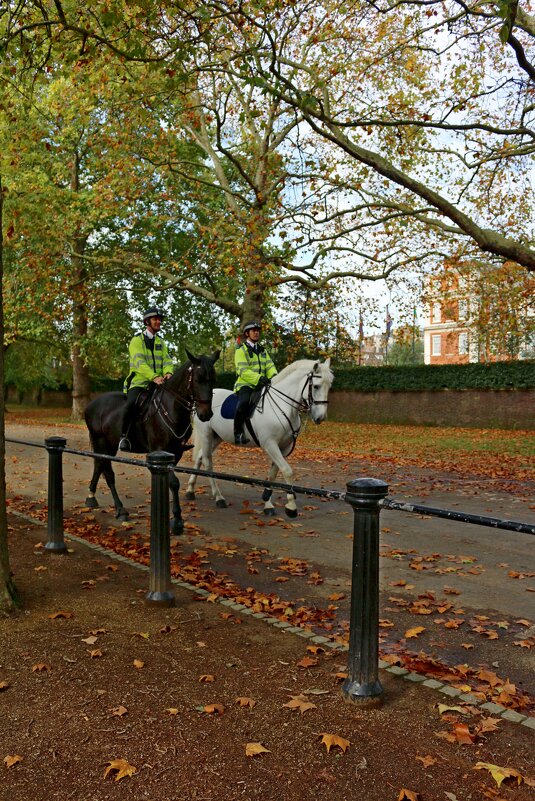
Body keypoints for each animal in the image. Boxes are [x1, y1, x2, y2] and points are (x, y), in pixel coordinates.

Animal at [84, 348, 218, 532]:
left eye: (213, 379)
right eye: (197, 379)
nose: (206, 414)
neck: (171, 408)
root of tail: (91, 404)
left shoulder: (175, 454)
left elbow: (169, 482)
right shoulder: (159, 449)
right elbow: (174, 482)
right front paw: (177, 520)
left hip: (108, 445)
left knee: (99, 466)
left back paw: (91, 497)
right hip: (101, 442)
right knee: (108, 473)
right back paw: (120, 509)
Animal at [186, 356, 332, 512]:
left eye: (329, 386)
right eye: (316, 386)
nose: (320, 417)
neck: (281, 406)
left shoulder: (283, 447)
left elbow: (273, 473)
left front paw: (267, 502)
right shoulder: (270, 444)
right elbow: (287, 470)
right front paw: (291, 506)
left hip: (216, 437)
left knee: (200, 457)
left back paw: (190, 490)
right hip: (206, 435)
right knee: (207, 462)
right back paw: (219, 498)